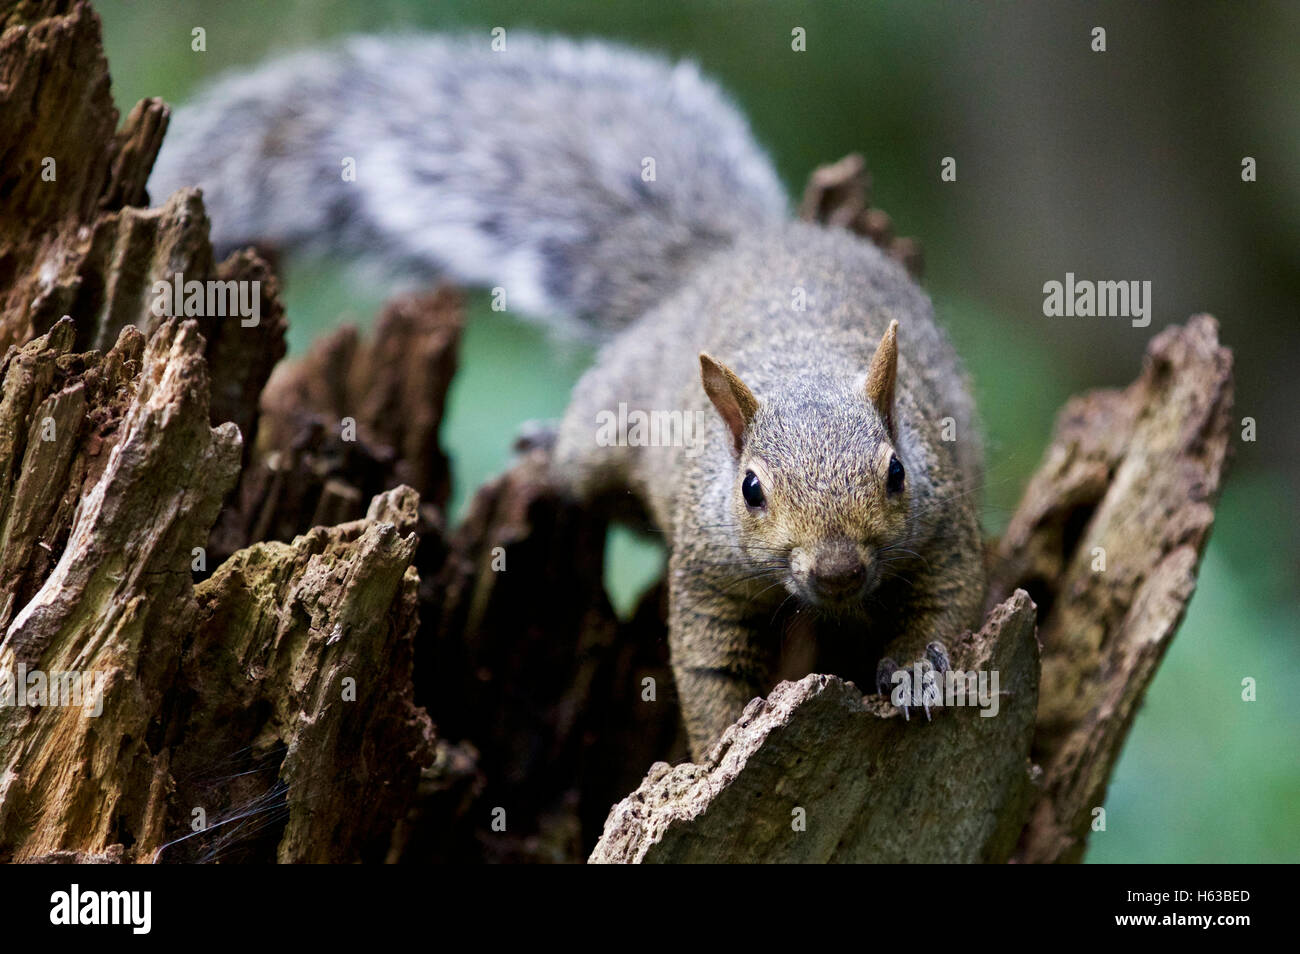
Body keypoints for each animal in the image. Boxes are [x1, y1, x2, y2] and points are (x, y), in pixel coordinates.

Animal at [149, 31, 982, 764]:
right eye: (750, 489)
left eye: (897, 472)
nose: (838, 571)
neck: (805, 360)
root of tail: (740, 253)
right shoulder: (707, 564)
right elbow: (707, 664)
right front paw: (719, 749)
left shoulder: (943, 524)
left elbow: (949, 599)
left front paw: (919, 671)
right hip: (607, 428)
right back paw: (547, 452)